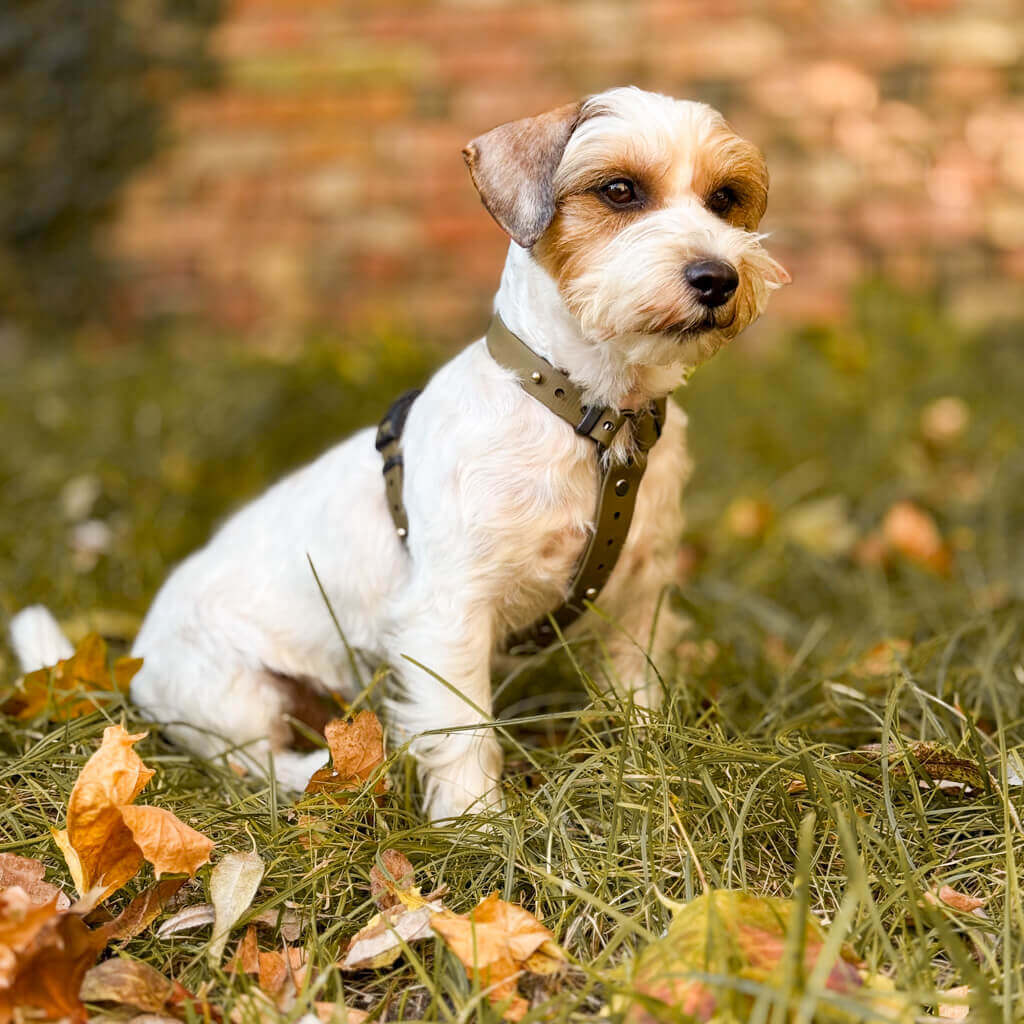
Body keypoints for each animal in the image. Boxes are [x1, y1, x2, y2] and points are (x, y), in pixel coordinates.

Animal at [12, 90, 786, 823]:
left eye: (725, 198)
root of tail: (134, 660)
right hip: (233, 691)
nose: (718, 277)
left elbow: (637, 691)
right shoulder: (449, 614)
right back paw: (324, 773)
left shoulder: (637, 597)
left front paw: (647, 771)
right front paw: (476, 826)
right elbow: (462, 729)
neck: (591, 417)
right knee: (251, 762)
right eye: (620, 190)